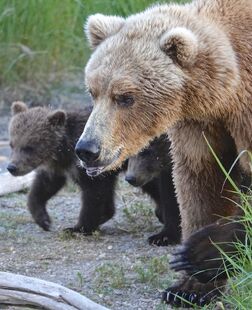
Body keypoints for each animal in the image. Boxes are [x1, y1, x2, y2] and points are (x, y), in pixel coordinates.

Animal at [76, 0, 252, 306]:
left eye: (125, 97)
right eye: (92, 91)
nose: (87, 149)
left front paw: (201, 252)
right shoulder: (202, 125)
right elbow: (204, 186)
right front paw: (189, 288)